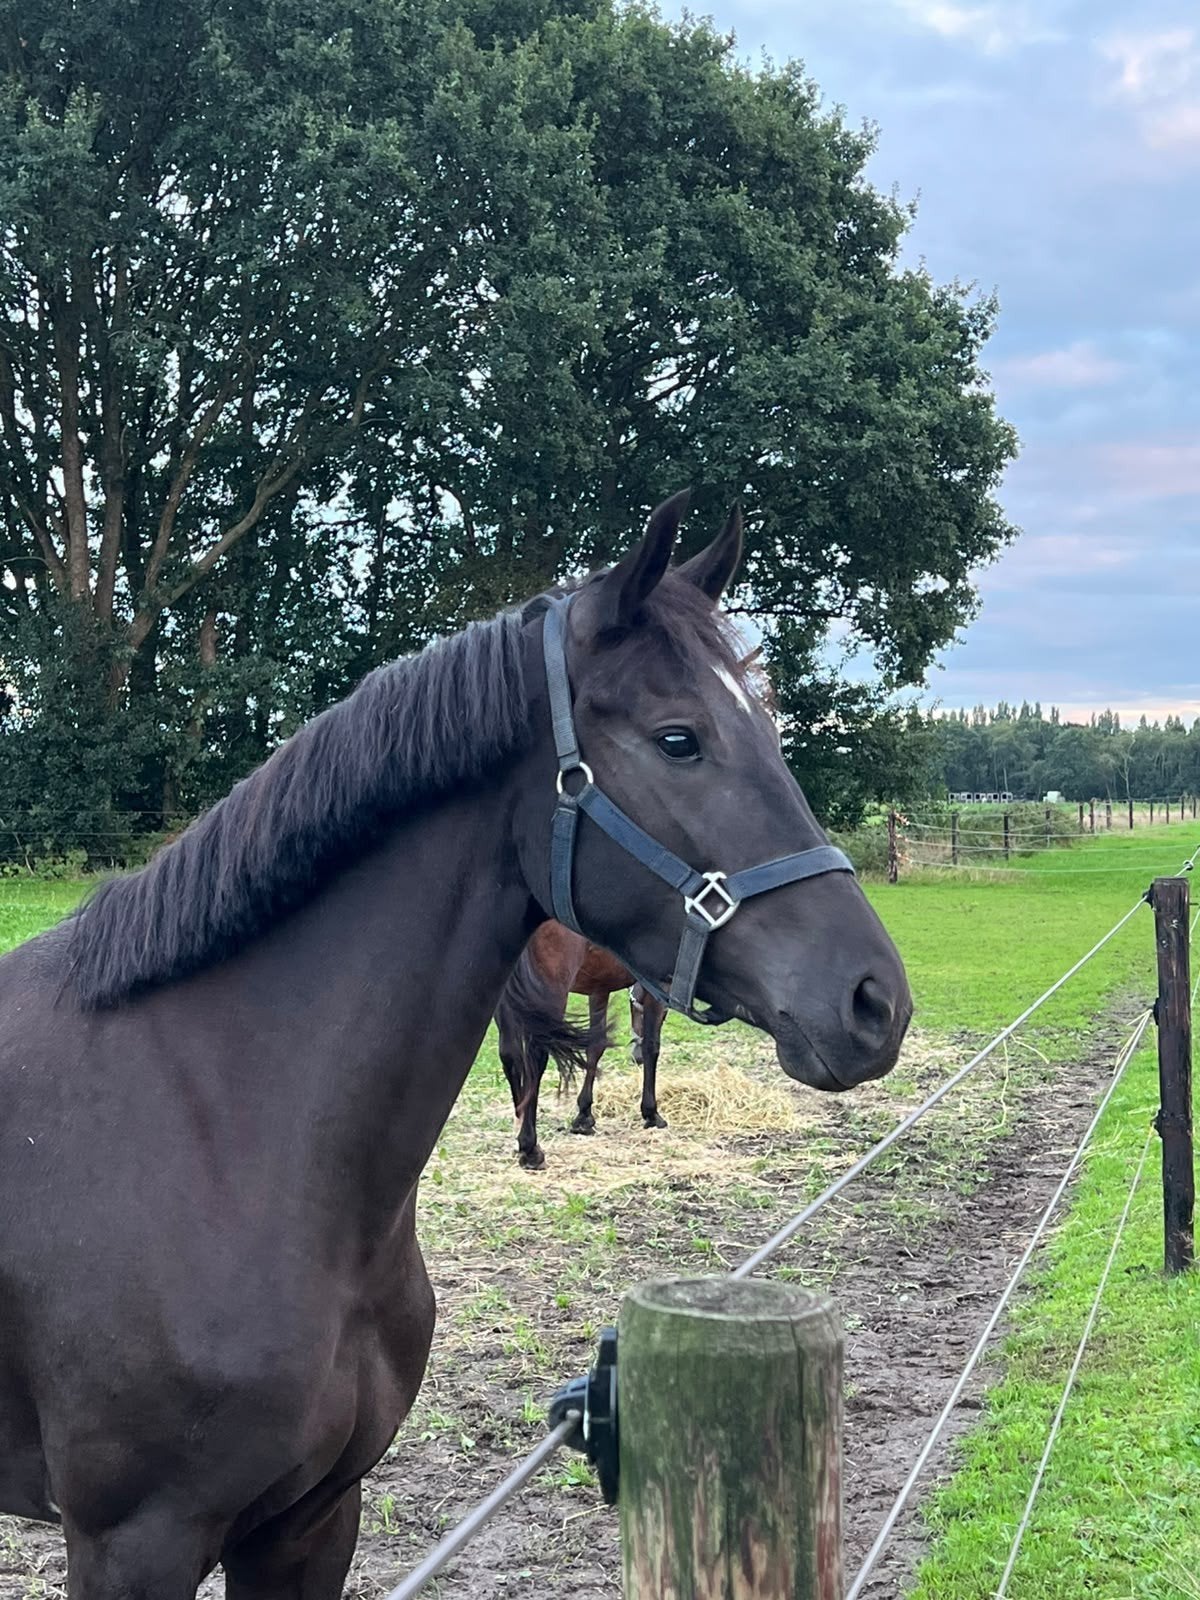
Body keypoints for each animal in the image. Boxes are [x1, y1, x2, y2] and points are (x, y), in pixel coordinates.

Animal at [495, 922, 669, 1168]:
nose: (635, 1056)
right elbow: (652, 1046)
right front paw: (651, 1112)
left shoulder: (599, 987)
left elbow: (596, 1047)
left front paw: (584, 1115)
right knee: (535, 1060)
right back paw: (530, 1146)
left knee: (510, 1055)